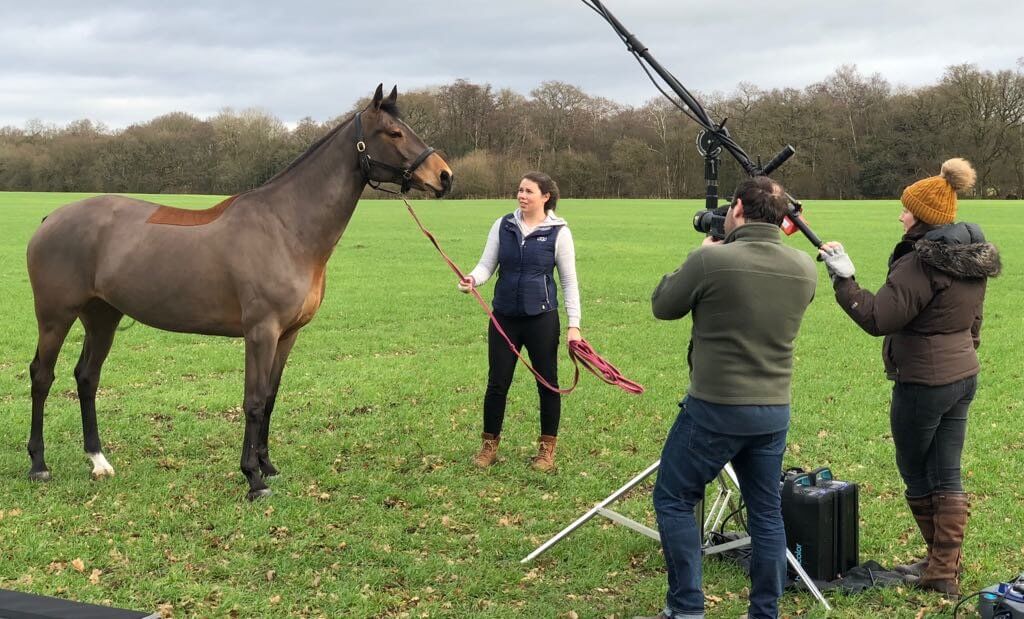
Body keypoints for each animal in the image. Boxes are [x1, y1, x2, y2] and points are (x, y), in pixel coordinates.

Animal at [25, 85, 453, 500]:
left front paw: (267, 465)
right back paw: (39, 465)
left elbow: (271, 399)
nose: (445, 175)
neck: (286, 227)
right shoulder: (261, 332)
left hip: (102, 316)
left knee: (87, 377)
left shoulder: (287, 335)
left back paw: (98, 460)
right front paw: (253, 479)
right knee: (42, 376)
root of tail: (50, 219)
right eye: (394, 133)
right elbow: (254, 400)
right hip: (56, 317)